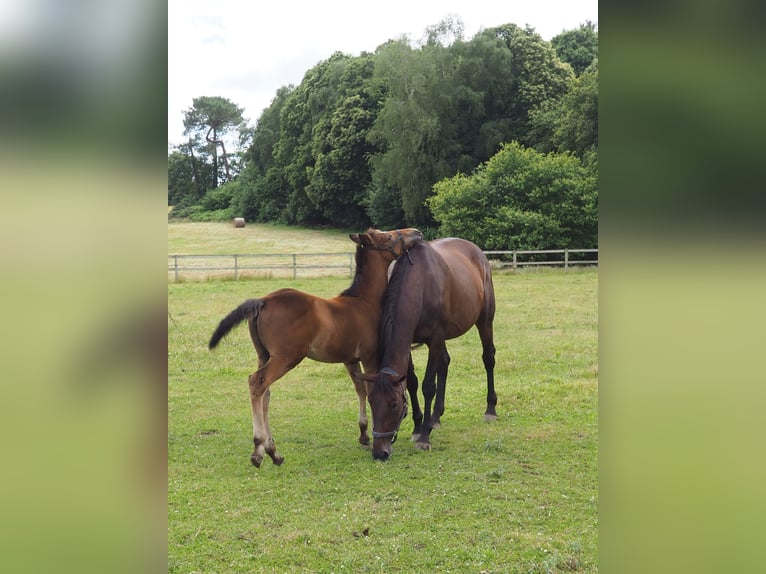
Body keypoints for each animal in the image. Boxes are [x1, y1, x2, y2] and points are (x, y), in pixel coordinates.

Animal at [208, 228, 426, 468]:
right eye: (388, 236)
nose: (416, 233)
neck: (365, 301)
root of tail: (263, 301)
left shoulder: (350, 359)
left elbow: (360, 388)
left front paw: (363, 434)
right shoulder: (370, 356)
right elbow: (369, 390)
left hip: (263, 355)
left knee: (265, 393)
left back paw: (273, 452)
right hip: (286, 357)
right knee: (257, 383)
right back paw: (258, 450)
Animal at [364, 236, 500, 462]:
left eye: (394, 404)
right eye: (371, 402)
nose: (379, 452)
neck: (419, 284)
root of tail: (476, 251)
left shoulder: (434, 339)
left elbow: (428, 386)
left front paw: (424, 437)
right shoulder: (410, 342)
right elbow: (411, 382)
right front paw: (418, 427)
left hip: (485, 321)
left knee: (488, 359)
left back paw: (490, 409)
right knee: (444, 363)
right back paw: (436, 417)